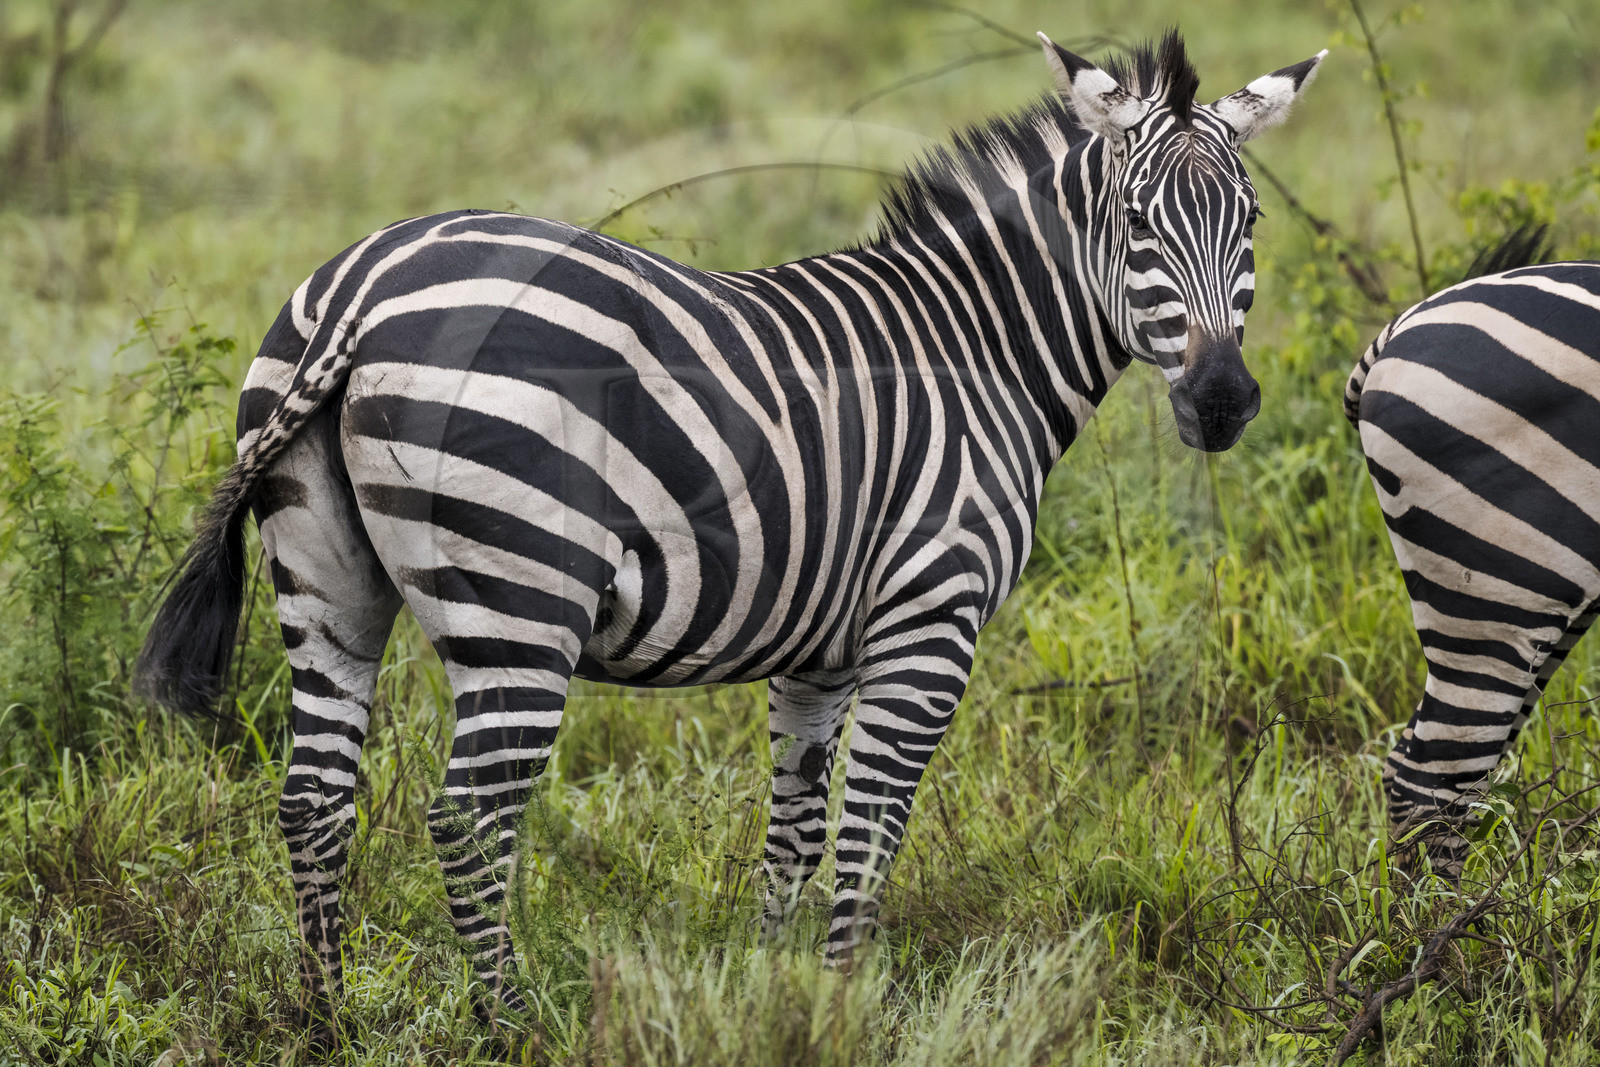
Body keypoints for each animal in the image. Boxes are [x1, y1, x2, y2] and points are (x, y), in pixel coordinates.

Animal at [136, 31, 1324, 1035]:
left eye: (1251, 228)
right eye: (1137, 227)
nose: (1221, 401)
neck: (977, 349)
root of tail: (367, 288)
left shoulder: (821, 646)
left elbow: (793, 827)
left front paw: (774, 990)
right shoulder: (927, 620)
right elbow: (868, 824)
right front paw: (844, 1008)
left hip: (325, 576)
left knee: (314, 799)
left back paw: (325, 1018)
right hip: (523, 601)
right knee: (469, 817)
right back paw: (508, 1025)